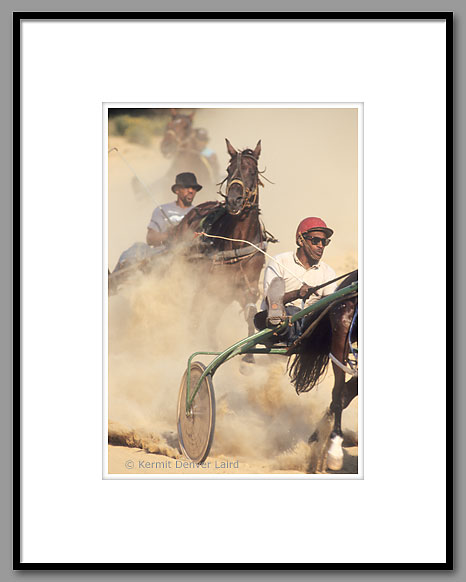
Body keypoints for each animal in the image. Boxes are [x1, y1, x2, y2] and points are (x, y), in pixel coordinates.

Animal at [172, 140, 274, 360]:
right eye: (229, 170)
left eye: (252, 171)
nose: (234, 200)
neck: (237, 243)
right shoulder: (206, 284)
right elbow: (196, 316)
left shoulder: (246, 286)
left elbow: (251, 313)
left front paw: (247, 356)